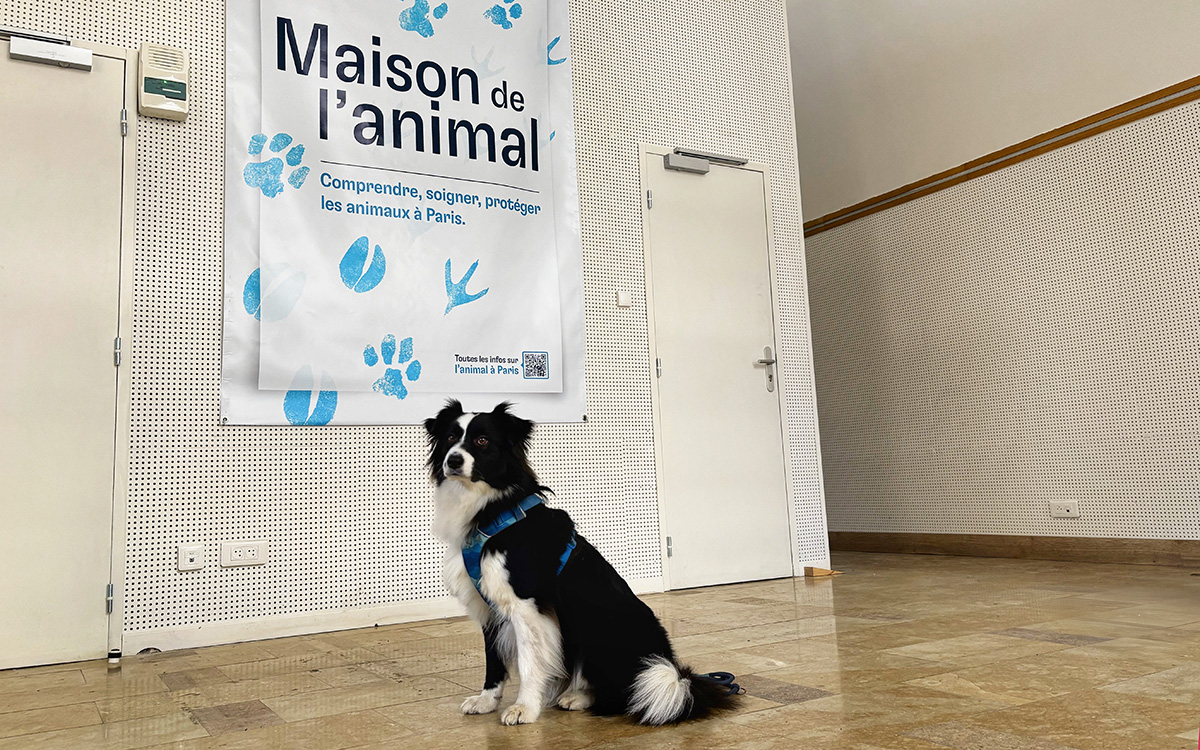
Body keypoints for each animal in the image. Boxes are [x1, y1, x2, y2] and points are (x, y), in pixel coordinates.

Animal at [427, 400, 734, 724]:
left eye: (483, 440)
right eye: (450, 437)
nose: (453, 460)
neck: (493, 509)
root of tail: (673, 668)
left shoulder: (526, 606)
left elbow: (528, 663)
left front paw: (525, 707)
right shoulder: (489, 607)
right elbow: (493, 660)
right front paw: (487, 701)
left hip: (598, 626)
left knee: (625, 695)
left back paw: (581, 697)